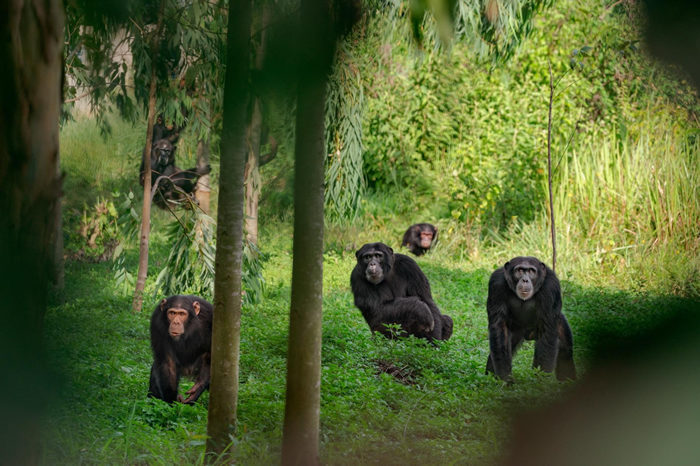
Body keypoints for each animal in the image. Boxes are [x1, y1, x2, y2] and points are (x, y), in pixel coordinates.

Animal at [484, 256, 576, 384]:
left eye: (531, 271)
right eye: (520, 270)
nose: (525, 280)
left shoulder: (551, 286)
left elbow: (547, 331)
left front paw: (541, 382)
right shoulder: (496, 284)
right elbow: (499, 328)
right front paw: (505, 378)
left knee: (565, 350)